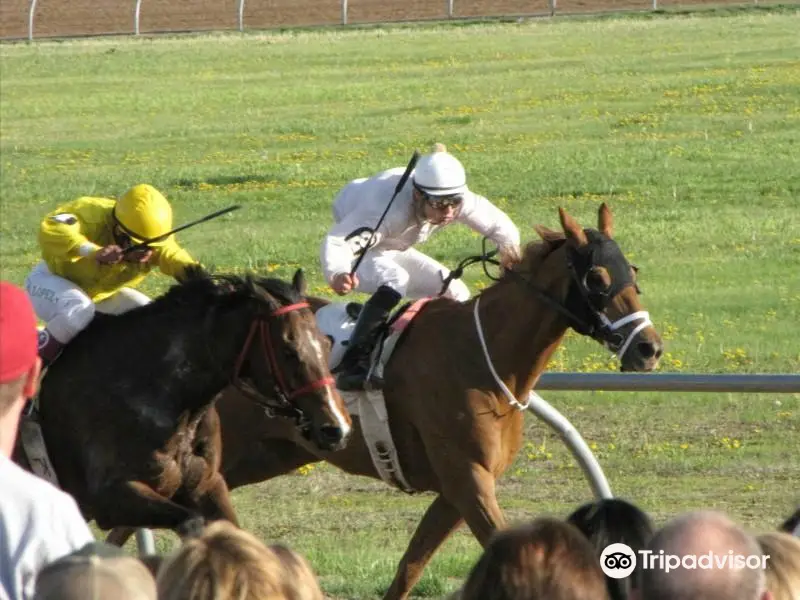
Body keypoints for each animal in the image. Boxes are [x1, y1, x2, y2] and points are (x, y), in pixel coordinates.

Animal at [14, 268, 350, 540]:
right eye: (289, 351)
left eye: (326, 343)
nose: (337, 428)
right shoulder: (111, 496)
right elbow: (193, 525)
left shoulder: (206, 483)